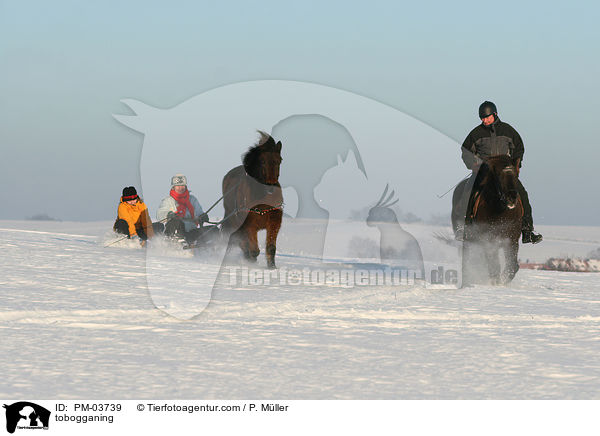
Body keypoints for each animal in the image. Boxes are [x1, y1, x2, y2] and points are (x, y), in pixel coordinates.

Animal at [223, 132, 284, 270]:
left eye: (279, 161)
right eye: (262, 161)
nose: (271, 187)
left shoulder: (274, 221)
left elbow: (271, 247)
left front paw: (272, 266)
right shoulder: (249, 223)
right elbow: (253, 249)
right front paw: (250, 261)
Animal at [462, 154, 524, 286]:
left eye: (515, 175)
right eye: (499, 176)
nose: (511, 198)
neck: (501, 212)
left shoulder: (512, 240)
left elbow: (512, 266)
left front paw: (504, 281)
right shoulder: (490, 240)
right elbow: (494, 265)